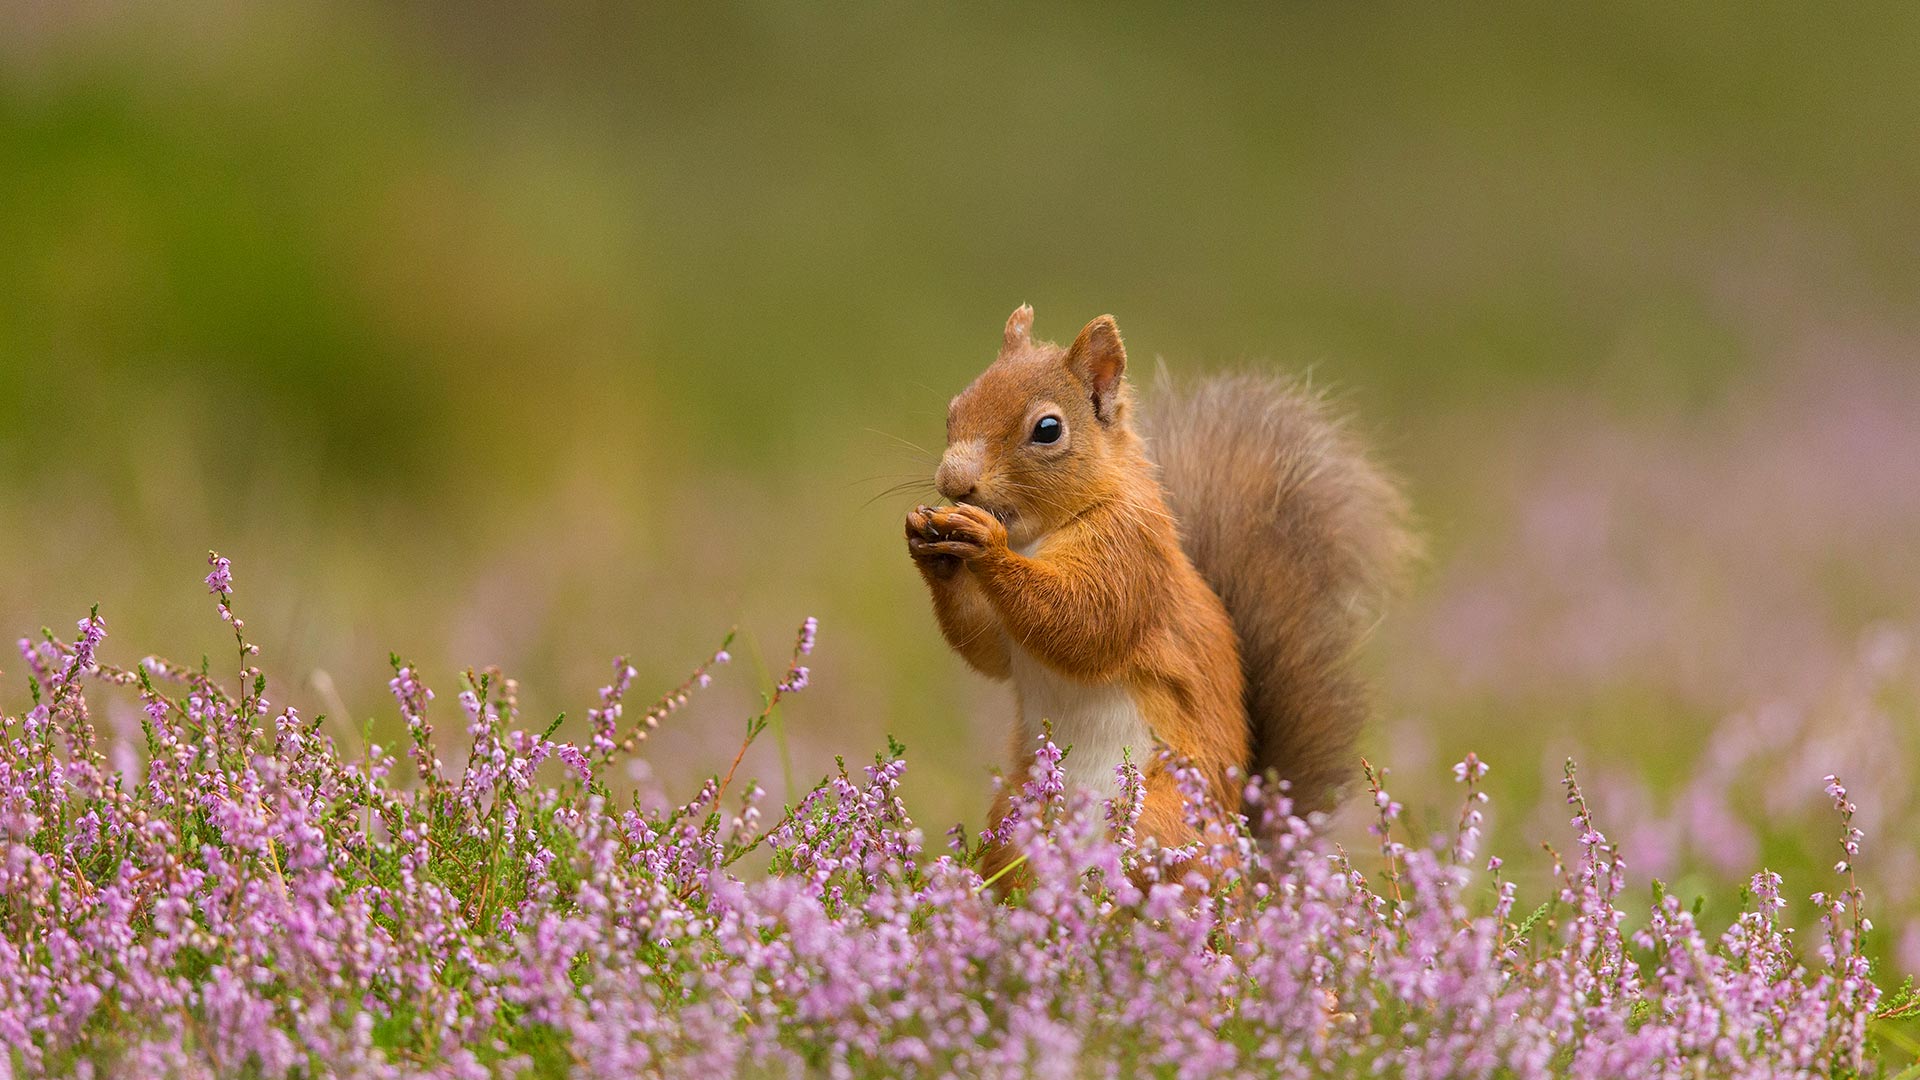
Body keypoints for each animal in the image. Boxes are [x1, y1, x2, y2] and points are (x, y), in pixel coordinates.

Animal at [898, 307, 1413, 880]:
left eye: (1048, 429)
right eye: (955, 409)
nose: (953, 483)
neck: (1038, 534)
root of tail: (1250, 868)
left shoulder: (1132, 557)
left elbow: (1085, 624)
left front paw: (986, 544)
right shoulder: (1007, 634)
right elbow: (988, 649)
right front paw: (928, 544)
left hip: (1162, 818)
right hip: (1016, 816)